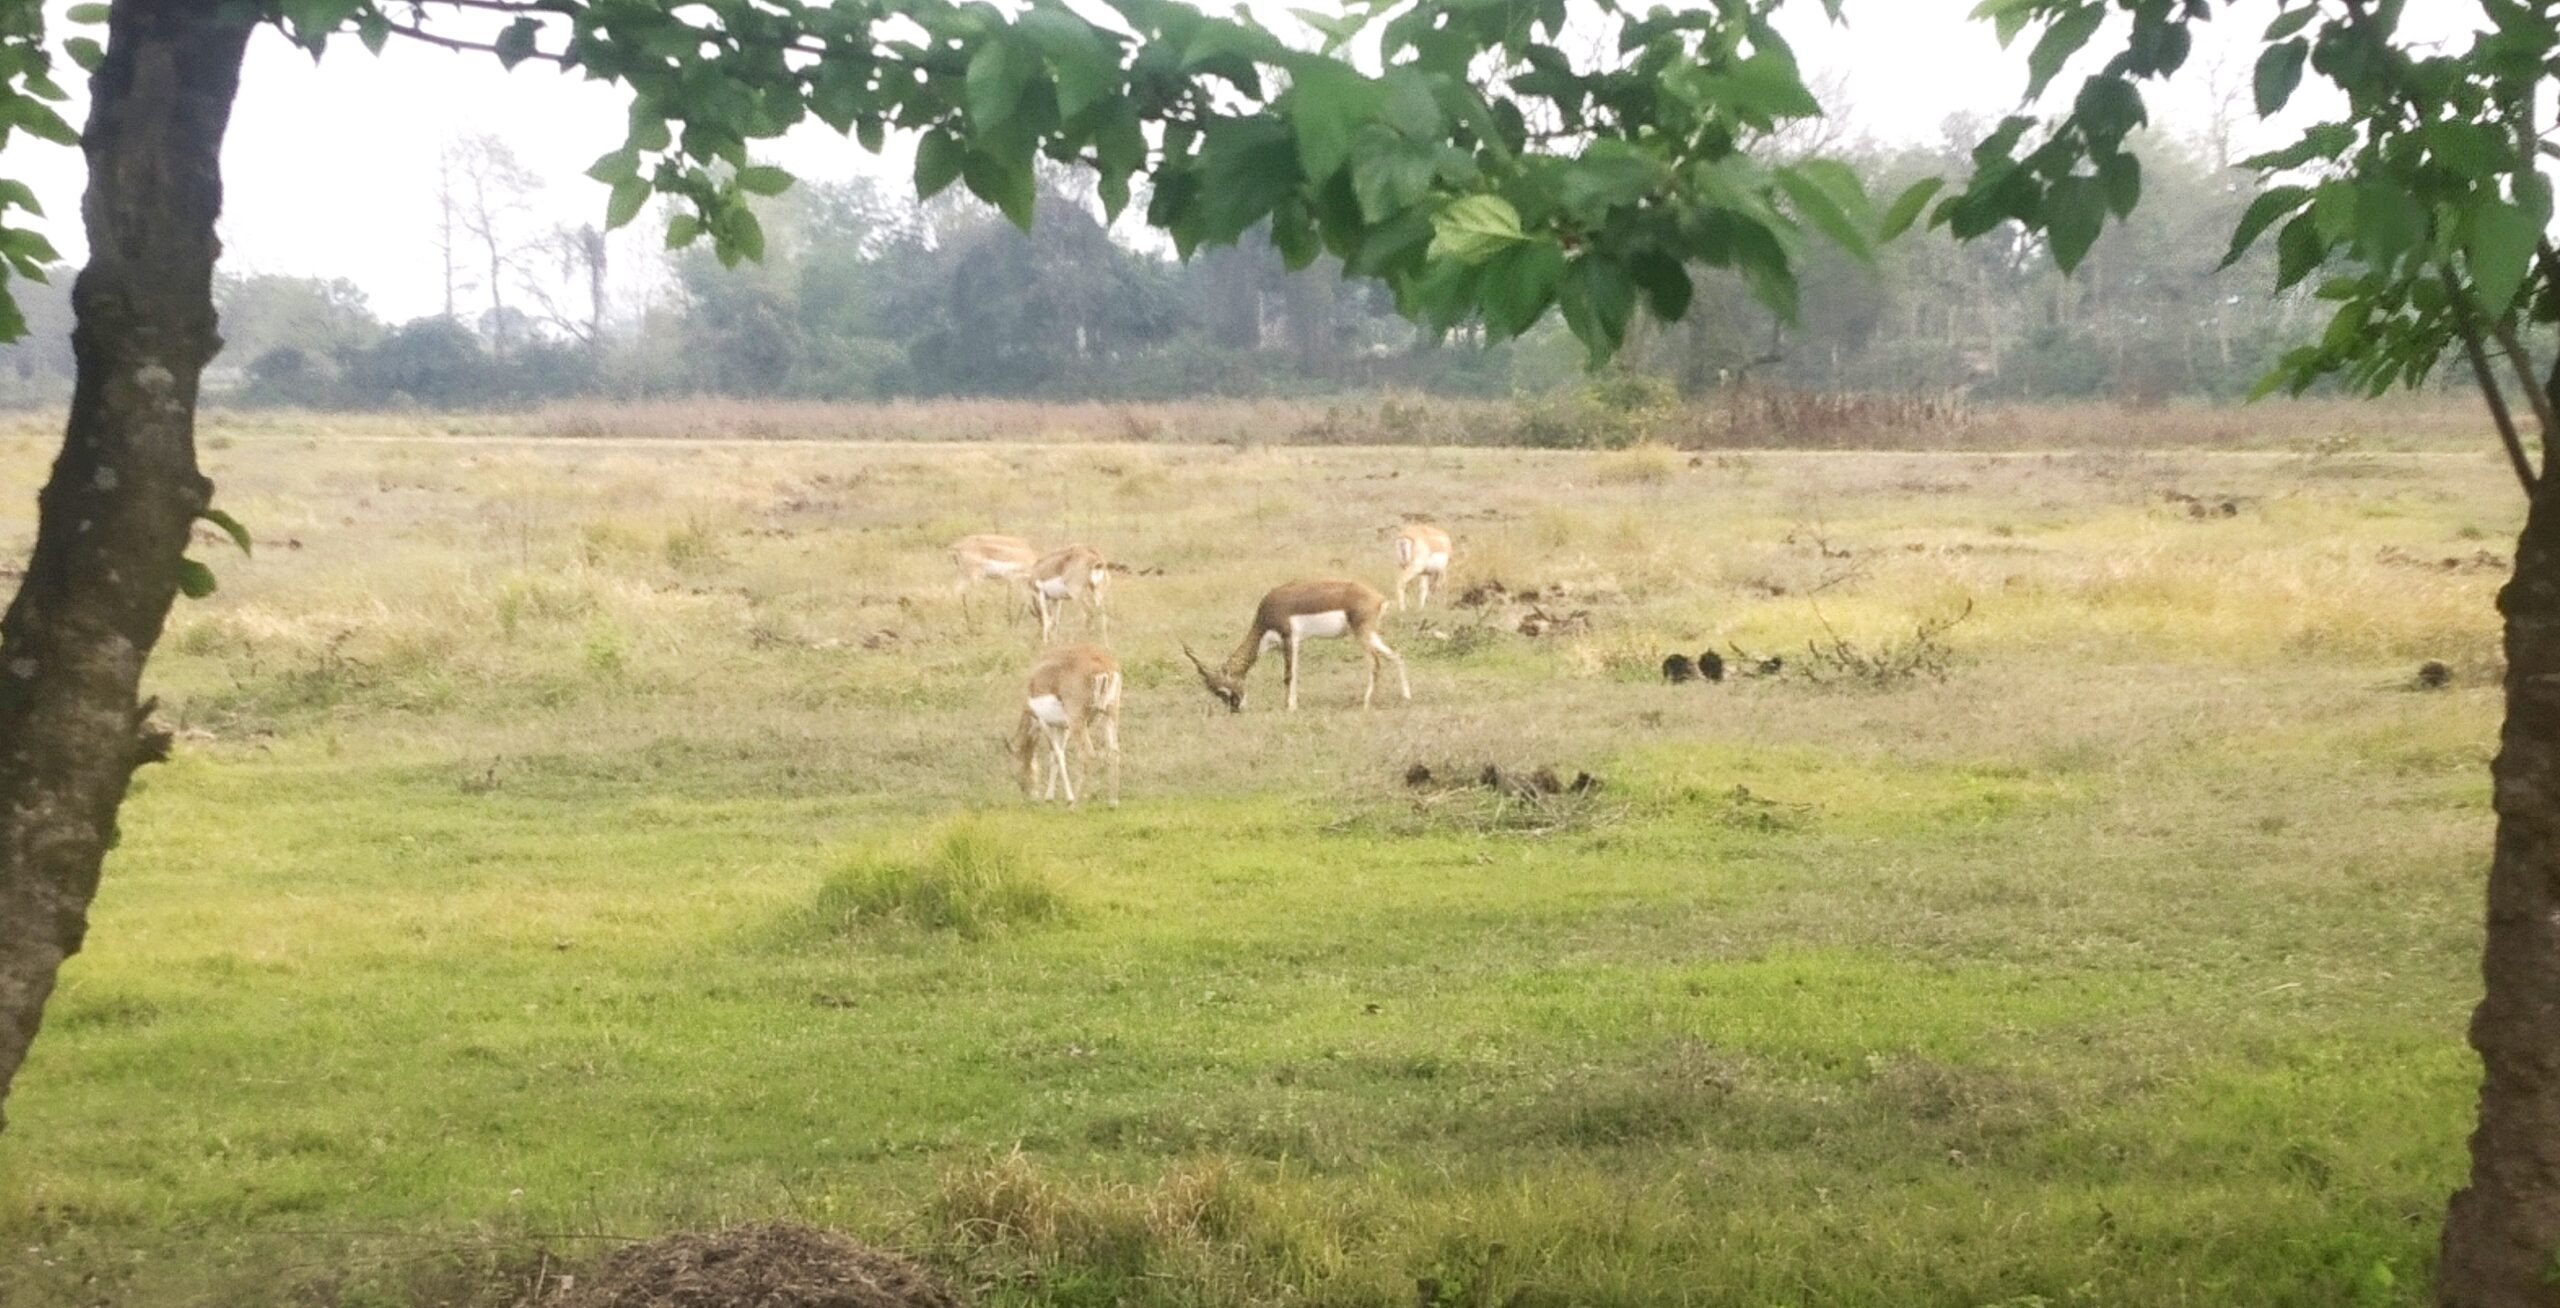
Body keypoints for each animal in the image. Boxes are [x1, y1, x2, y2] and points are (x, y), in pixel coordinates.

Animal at [998, 645, 1121, 808]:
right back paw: (1113, 802)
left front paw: (1065, 798)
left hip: (1078, 722)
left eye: (1014, 774)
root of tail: (1103, 665)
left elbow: (1057, 754)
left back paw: (1075, 805)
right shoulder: (1063, 727)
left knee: (1087, 754)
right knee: (1114, 751)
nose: (1030, 798)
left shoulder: (1044, 722)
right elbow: (1057, 755)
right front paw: (1050, 796)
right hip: (1110, 715)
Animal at [1182, 578, 1413, 711]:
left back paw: (1365, 703)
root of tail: (1378, 598)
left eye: (1222, 690)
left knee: (1375, 663)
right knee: (1397, 654)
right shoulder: (1292, 644)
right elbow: (1294, 673)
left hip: (1362, 635)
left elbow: (1288, 675)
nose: (1236, 709)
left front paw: (1289, 708)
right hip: (1371, 634)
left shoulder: (1288, 639)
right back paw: (1406, 696)